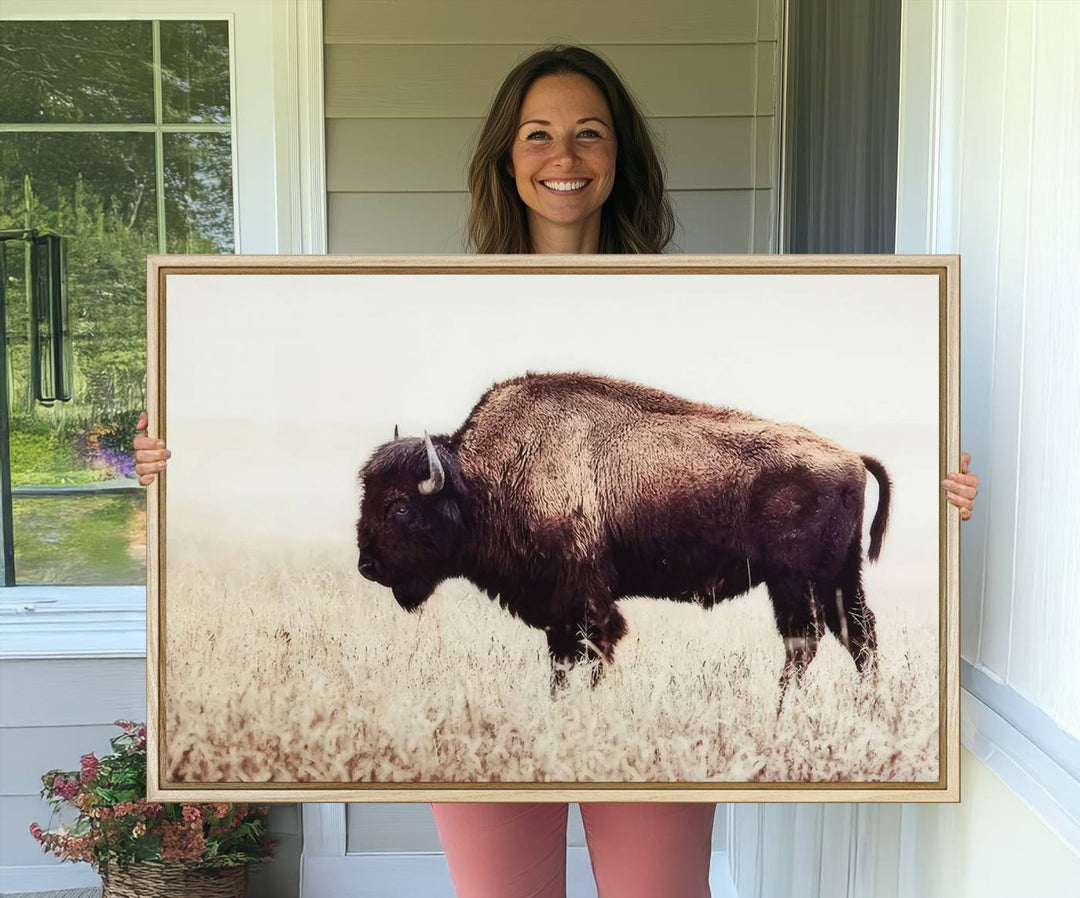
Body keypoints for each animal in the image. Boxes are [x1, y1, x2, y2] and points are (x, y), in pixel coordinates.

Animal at [354, 369, 885, 695]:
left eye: (400, 506)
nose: (367, 565)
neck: (484, 479)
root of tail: (853, 456)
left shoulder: (584, 598)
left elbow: (589, 652)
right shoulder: (558, 609)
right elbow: (562, 660)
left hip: (795, 581)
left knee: (806, 641)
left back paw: (781, 710)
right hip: (840, 578)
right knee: (857, 636)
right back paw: (867, 708)